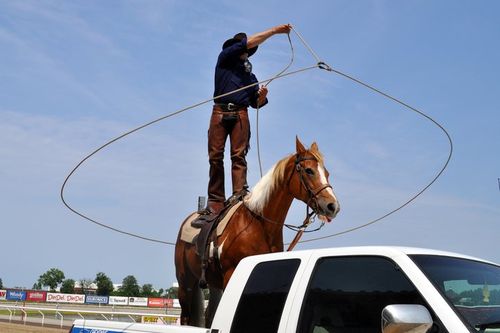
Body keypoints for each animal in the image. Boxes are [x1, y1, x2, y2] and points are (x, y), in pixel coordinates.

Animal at [174, 137, 342, 324]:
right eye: (309, 170)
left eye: (326, 173)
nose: (333, 206)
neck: (258, 223)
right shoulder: (231, 274)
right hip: (185, 283)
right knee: (186, 317)